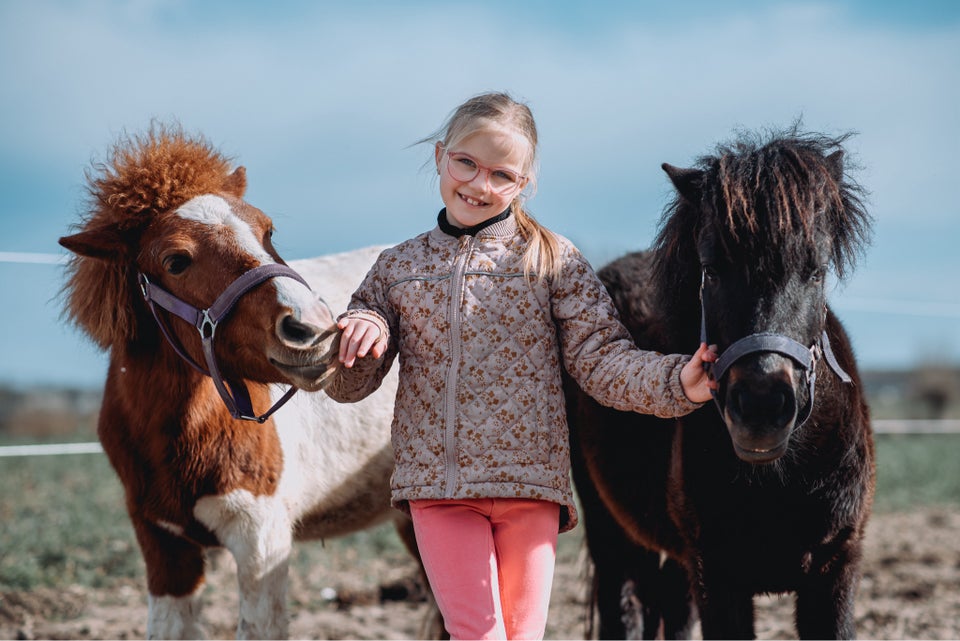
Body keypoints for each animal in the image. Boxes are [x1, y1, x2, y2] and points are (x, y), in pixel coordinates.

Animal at [568, 127, 876, 636]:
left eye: (816, 270)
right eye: (710, 270)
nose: (762, 408)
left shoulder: (835, 568)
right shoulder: (716, 577)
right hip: (610, 532)